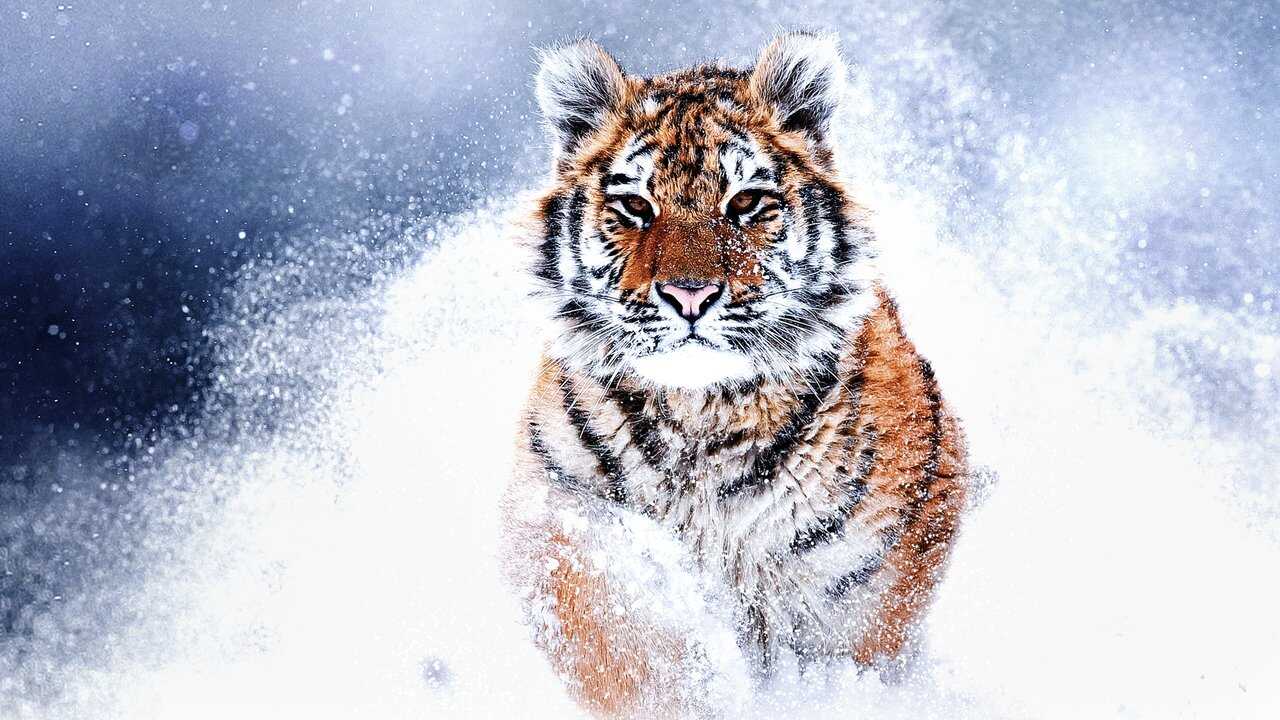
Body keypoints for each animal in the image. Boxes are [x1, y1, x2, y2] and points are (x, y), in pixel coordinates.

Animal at [500, 32, 969, 718]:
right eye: (635, 206)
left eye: (746, 202)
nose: (689, 295)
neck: (701, 413)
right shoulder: (562, 520)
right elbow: (622, 645)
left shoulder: (859, 584)